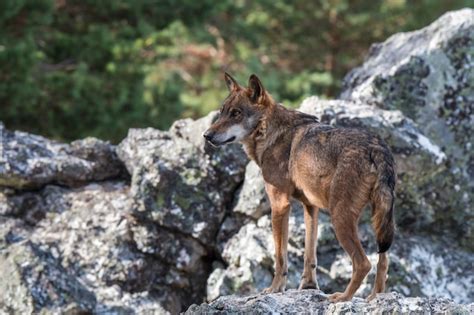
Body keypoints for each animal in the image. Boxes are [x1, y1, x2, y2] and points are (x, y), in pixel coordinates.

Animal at [204, 73, 396, 302]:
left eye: (236, 113)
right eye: (222, 112)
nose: (206, 135)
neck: (269, 132)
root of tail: (376, 146)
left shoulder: (279, 205)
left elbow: (280, 258)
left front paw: (274, 289)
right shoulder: (310, 208)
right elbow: (309, 255)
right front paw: (309, 287)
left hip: (340, 218)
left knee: (363, 263)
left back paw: (342, 298)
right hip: (379, 219)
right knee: (383, 262)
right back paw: (374, 298)